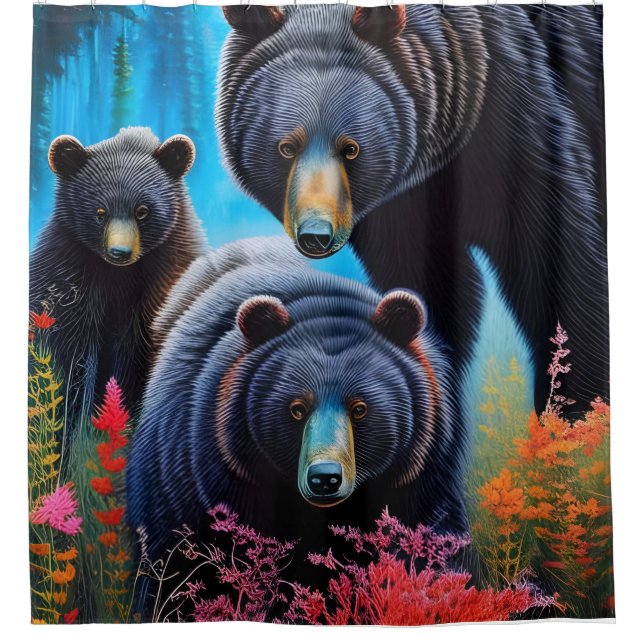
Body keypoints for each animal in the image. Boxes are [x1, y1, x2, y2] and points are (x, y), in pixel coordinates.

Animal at [29, 127, 207, 423]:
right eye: (100, 212)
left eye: (142, 210)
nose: (119, 252)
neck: (118, 278)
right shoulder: (67, 275)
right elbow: (67, 355)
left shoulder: (166, 276)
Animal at [215, 4, 609, 416]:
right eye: (286, 147)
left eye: (351, 147)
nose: (316, 235)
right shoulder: (398, 204)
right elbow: (429, 288)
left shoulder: (516, 110)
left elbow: (557, 261)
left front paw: (576, 412)